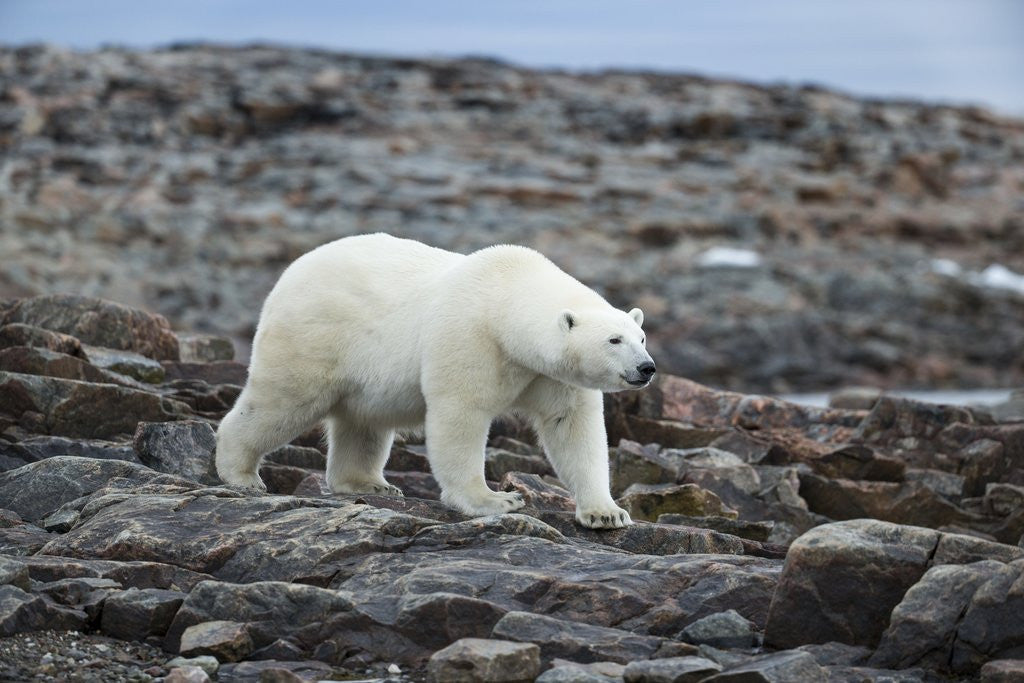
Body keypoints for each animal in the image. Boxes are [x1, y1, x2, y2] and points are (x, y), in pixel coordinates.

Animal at [215, 233, 656, 529]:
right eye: (613, 340)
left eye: (641, 337)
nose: (647, 368)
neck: (505, 297)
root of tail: (290, 273)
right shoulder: (470, 337)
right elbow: (460, 414)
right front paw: (497, 500)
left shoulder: (546, 374)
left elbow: (572, 426)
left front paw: (607, 513)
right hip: (315, 335)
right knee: (282, 400)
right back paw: (241, 473)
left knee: (363, 424)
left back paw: (369, 483)